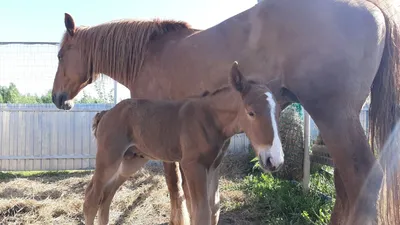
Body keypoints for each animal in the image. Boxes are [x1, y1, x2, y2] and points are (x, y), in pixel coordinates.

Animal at [84, 61, 284, 225]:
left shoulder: (213, 166)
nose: (275, 160)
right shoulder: (192, 165)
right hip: (109, 158)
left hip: (131, 160)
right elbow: (201, 213)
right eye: (251, 113)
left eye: (278, 113)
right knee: (92, 198)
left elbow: (214, 209)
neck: (210, 119)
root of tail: (106, 113)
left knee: (107, 194)